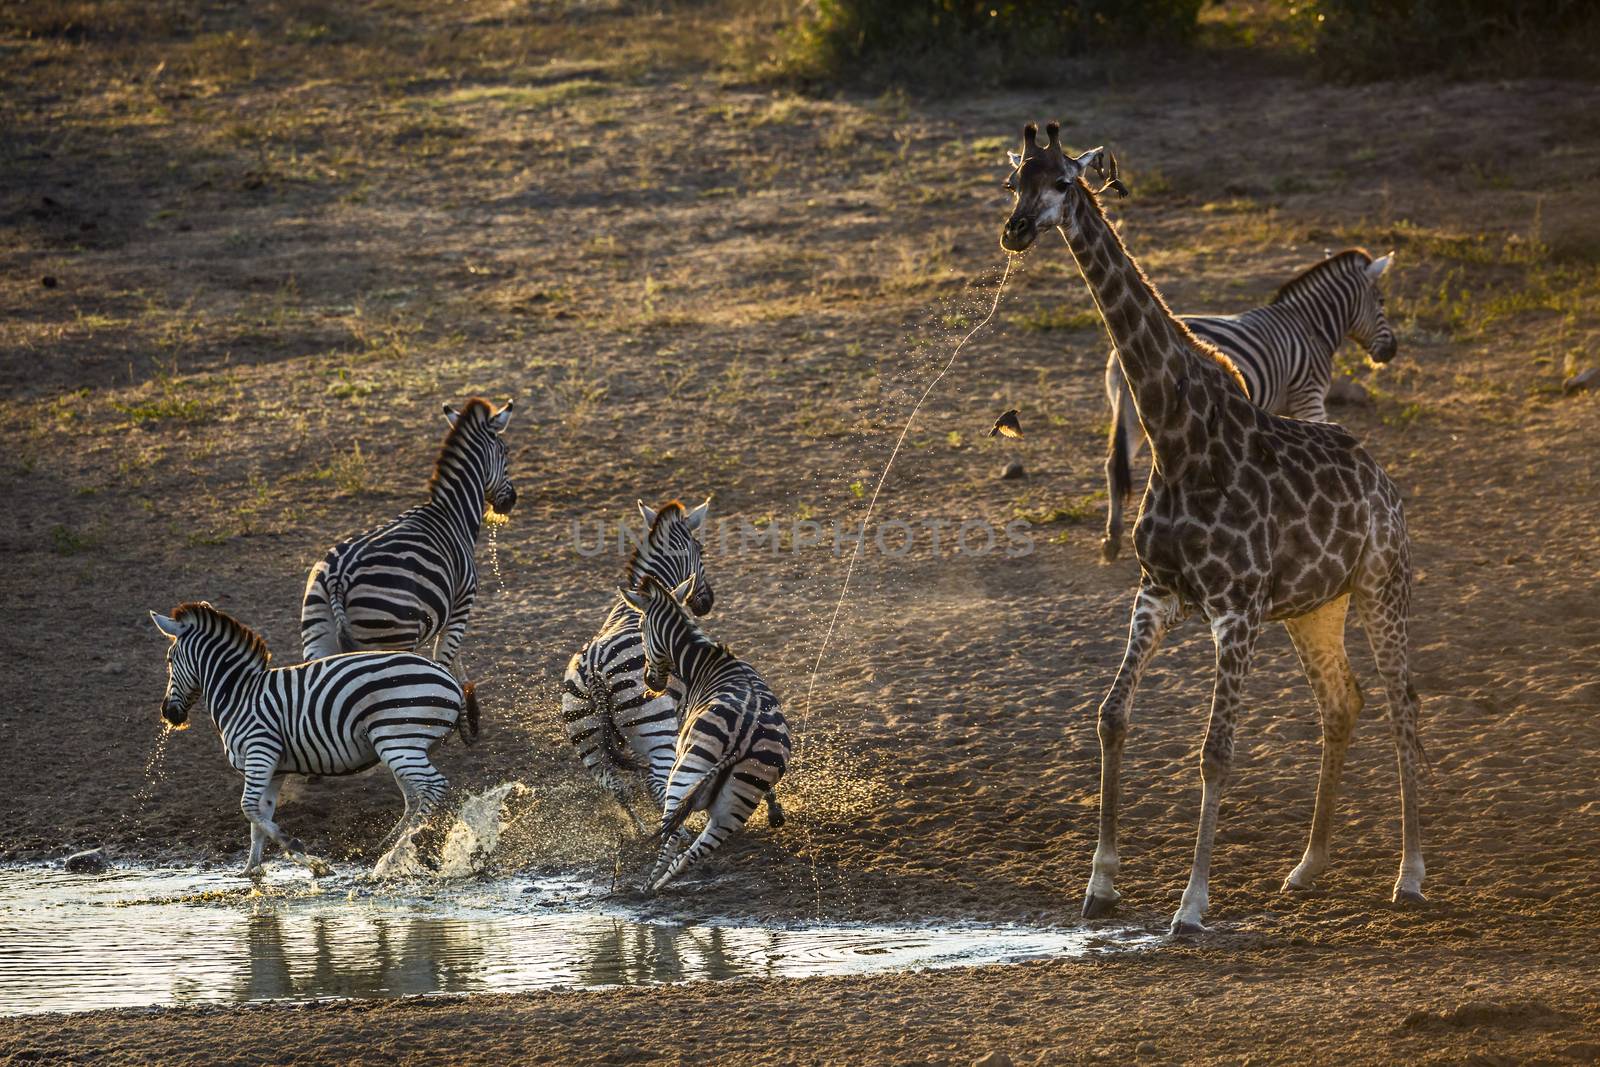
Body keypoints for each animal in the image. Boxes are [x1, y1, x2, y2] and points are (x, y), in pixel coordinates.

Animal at [150, 601, 480, 876]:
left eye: (169, 659)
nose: (168, 713)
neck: (239, 694)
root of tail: (448, 678)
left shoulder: (260, 750)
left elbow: (248, 808)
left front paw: (298, 851)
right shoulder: (274, 768)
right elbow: (258, 818)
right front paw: (250, 872)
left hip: (398, 741)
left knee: (434, 788)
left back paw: (399, 851)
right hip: (403, 746)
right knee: (415, 797)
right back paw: (390, 845)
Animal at [302, 396, 515, 671]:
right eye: (506, 452)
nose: (511, 501)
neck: (451, 510)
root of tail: (338, 579)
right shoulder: (462, 605)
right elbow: (446, 662)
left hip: (316, 633)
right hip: (394, 635)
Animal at [614, 575, 790, 895]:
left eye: (641, 629)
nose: (649, 681)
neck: (706, 663)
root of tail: (743, 736)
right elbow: (772, 791)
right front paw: (775, 812)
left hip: (685, 771)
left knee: (671, 836)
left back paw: (647, 887)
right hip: (737, 801)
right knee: (692, 855)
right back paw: (660, 884)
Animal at [1100, 247, 1401, 559]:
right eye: (1381, 301)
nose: (1392, 350)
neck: (1310, 327)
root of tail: (1121, 357)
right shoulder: (1309, 393)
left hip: (1133, 413)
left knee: (1114, 463)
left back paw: (1113, 537)